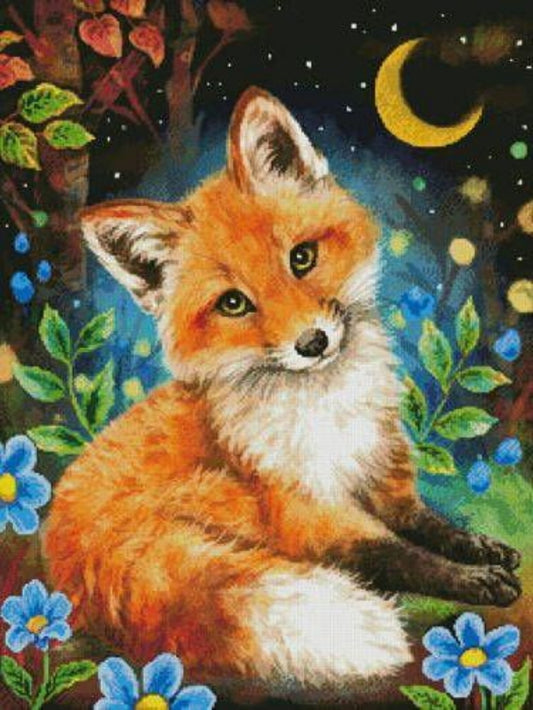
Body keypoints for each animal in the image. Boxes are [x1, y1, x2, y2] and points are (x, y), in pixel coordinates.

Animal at [44, 87, 521, 696]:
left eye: (301, 258)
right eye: (233, 303)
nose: (313, 343)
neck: (330, 413)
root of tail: (69, 555)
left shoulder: (384, 476)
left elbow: (429, 526)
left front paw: (483, 550)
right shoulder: (303, 511)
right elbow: (397, 554)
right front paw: (474, 580)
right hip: (223, 499)